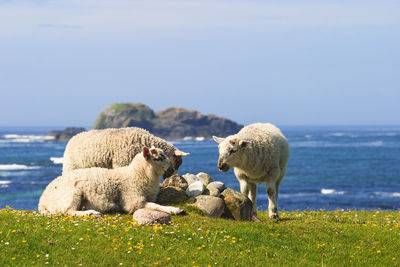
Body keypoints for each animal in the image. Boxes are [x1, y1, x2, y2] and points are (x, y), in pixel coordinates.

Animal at [38, 147, 183, 218]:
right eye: (158, 158)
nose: (171, 169)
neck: (135, 175)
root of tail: (42, 200)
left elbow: (156, 203)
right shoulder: (133, 201)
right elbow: (155, 206)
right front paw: (174, 209)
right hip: (72, 194)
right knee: (68, 211)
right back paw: (91, 213)